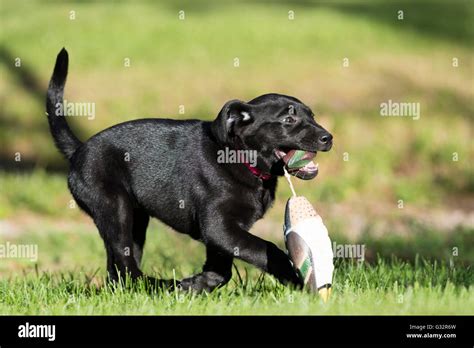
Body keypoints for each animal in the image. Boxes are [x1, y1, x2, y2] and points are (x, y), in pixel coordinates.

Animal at [45, 48, 334, 290]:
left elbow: (221, 271)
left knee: (118, 270)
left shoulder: (221, 236)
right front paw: (295, 277)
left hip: (136, 219)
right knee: (126, 267)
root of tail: (78, 150)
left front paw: (194, 285)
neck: (240, 159)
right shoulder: (218, 227)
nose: (328, 137)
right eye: (289, 119)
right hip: (115, 208)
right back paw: (157, 286)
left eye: (312, 116)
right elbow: (267, 248)